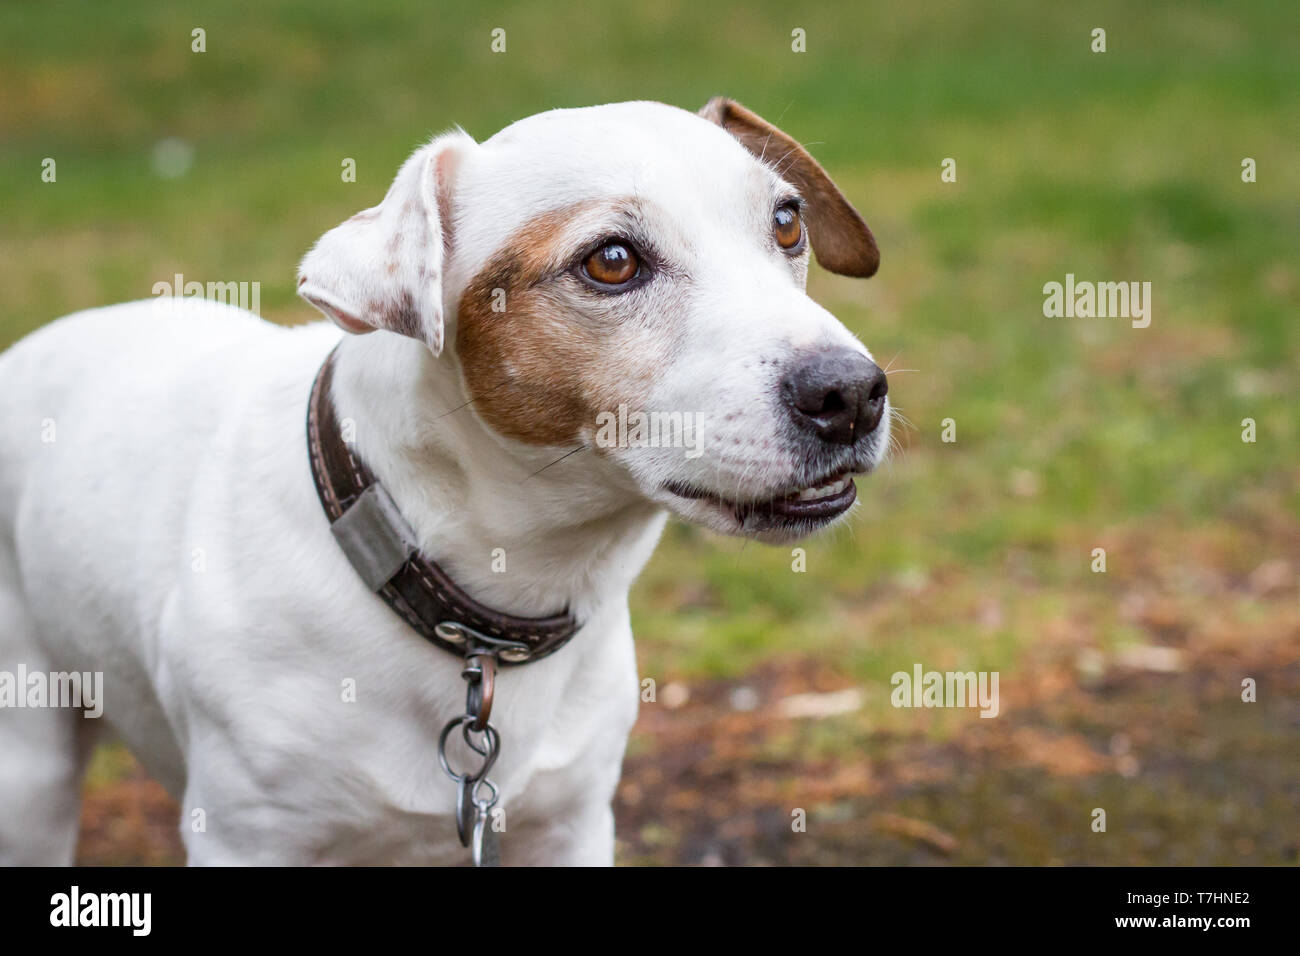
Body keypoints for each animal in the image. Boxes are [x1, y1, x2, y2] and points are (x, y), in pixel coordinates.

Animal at [0, 98, 883, 868]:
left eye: (788, 221)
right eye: (612, 261)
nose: (851, 393)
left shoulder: (567, 825)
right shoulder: (249, 839)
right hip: (30, 777)